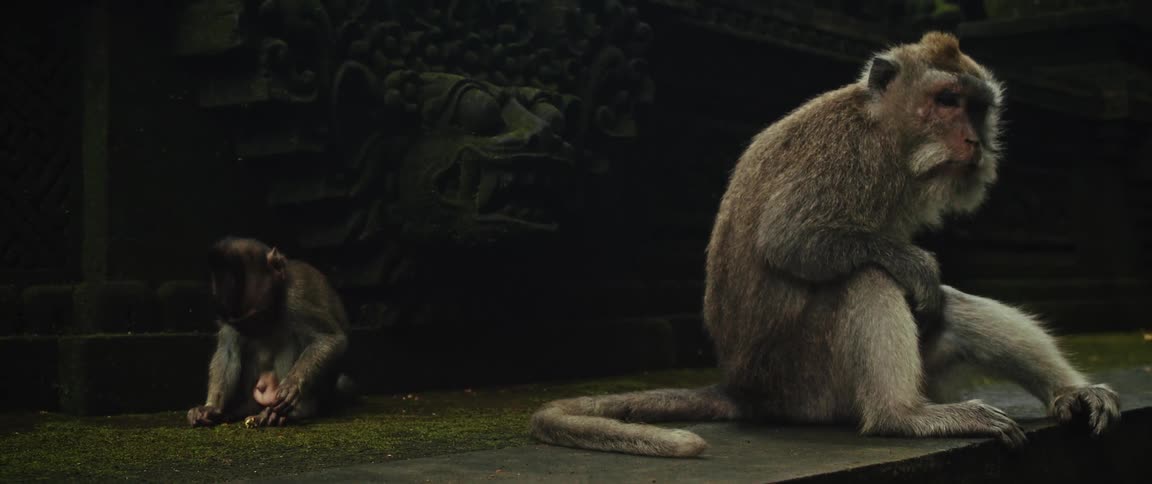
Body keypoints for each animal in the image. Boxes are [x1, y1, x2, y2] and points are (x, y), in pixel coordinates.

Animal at [187, 237, 356, 428]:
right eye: (243, 326)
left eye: (259, 318)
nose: (256, 331)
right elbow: (229, 350)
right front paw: (211, 407)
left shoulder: (296, 299)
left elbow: (331, 339)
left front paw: (293, 385)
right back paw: (244, 408)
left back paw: (296, 411)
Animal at [530, 32, 1121, 457]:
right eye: (946, 100)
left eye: (976, 107)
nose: (974, 142)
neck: (884, 131)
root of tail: (745, 390)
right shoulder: (842, 154)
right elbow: (790, 238)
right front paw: (915, 265)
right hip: (809, 385)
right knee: (867, 275)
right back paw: (902, 416)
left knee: (949, 308)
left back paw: (1069, 394)